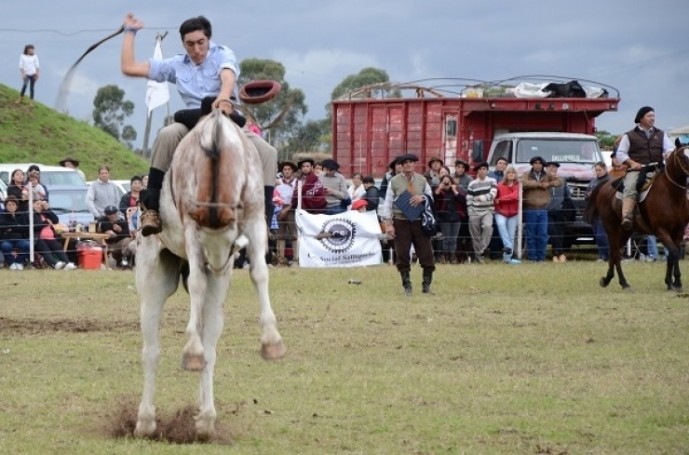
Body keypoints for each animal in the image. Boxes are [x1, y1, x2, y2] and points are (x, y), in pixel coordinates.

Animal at [134, 108, 284, 440]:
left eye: (232, 244)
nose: (216, 264)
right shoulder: (192, 227)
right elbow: (196, 283)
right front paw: (190, 349)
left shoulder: (253, 218)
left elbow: (259, 272)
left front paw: (271, 341)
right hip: (152, 282)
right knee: (151, 350)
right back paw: (145, 421)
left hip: (214, 294)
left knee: (210, 348)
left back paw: (205, 419)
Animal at [584, 137, 688, 292]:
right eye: (682, 156)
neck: (671, 195)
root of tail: (604, 185)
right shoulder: (661, 231)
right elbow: (674, 253)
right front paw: (675, 282)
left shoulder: (678, 231)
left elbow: (672, 254)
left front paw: (671, 283)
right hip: (611, 228)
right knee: (615, 253)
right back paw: (623, 282)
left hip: (625, 231)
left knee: (615, 253)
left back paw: (608, 279)